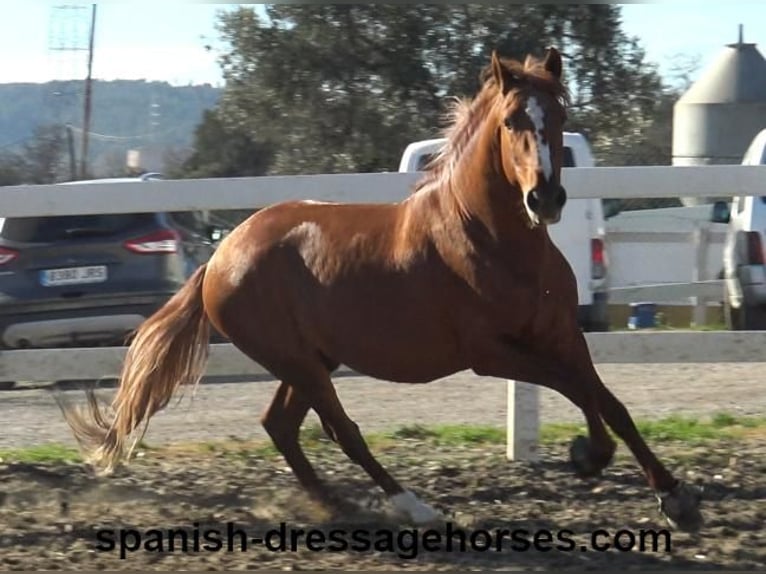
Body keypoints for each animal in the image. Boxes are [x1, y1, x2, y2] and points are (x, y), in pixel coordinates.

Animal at [60, 47, 704, 532]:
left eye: (561, 114)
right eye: (512, 122)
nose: (545, 199)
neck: (492, 241)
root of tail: (220, 254)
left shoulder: (564, 333)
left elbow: (607, 400)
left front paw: (671, 495)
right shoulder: (492, 353)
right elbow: (577, 390)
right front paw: (588, 457)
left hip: (311, 360)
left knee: (281, 426)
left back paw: (337, 506)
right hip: (298, 361)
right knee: (339, 430)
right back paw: (412, 506)